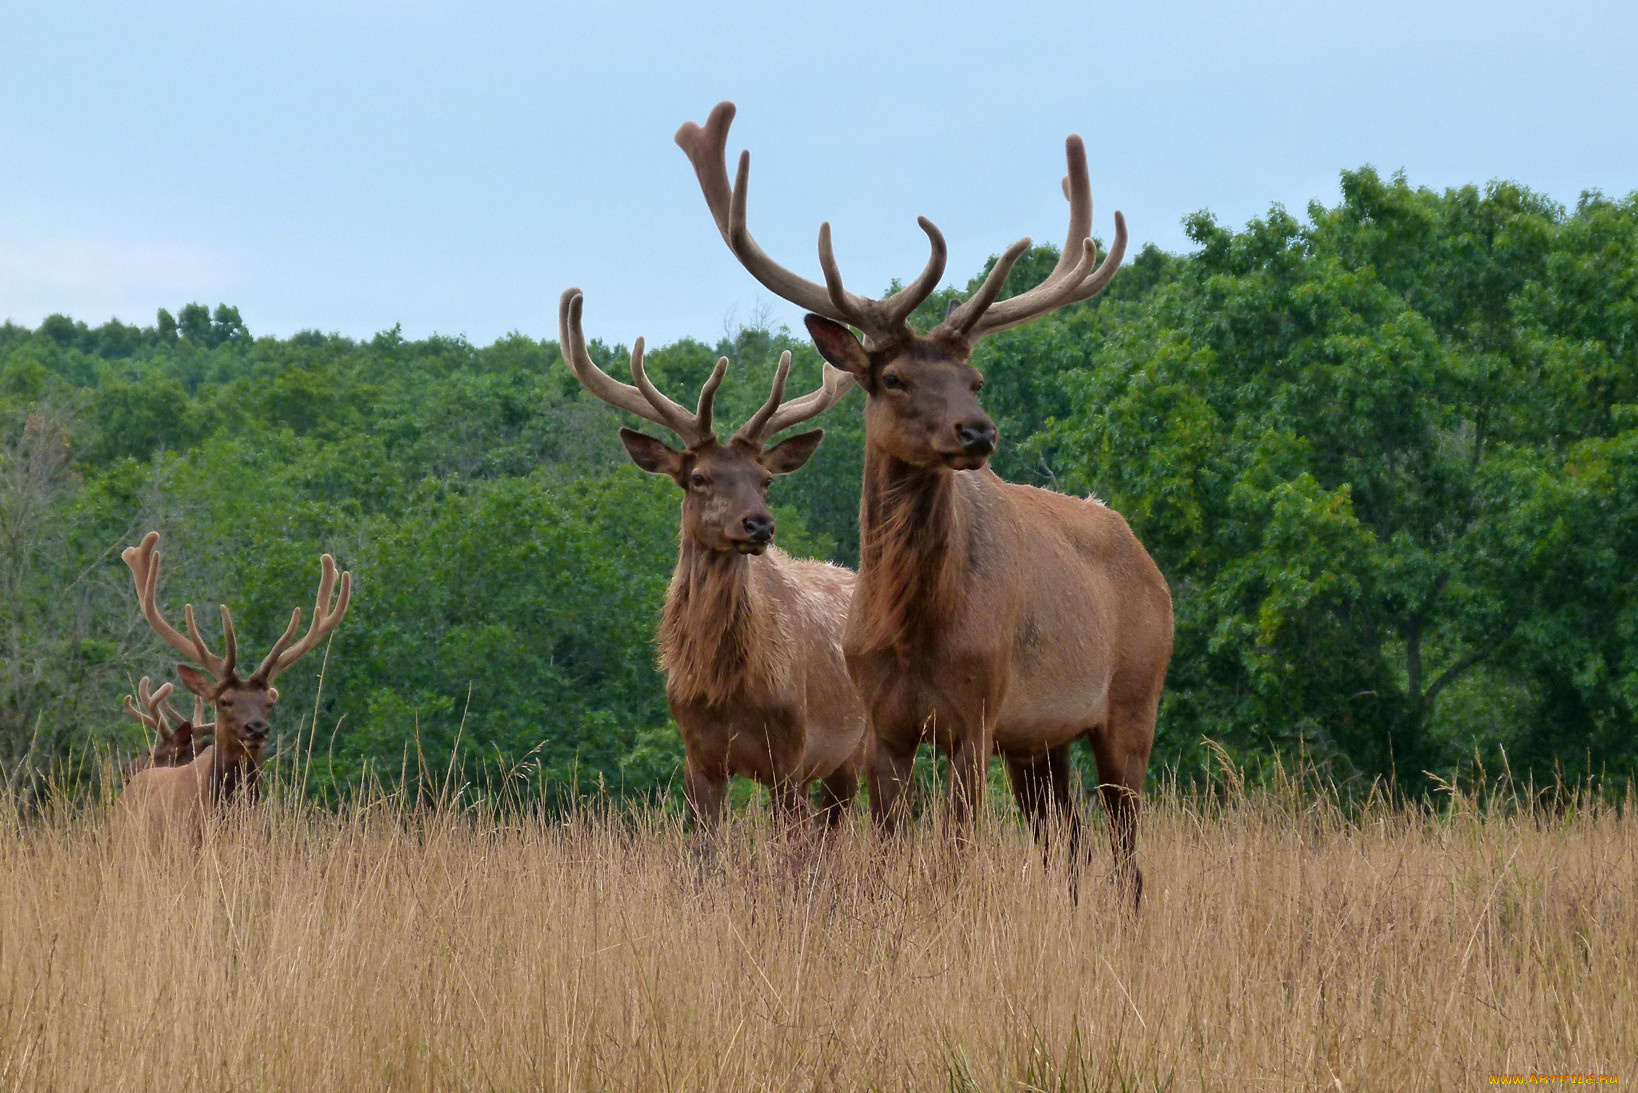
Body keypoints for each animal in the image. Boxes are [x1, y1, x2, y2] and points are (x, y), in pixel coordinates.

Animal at [560, 286, 871, 832]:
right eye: (699, 477)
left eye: (764, 479)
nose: (759, 525)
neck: (726, 691)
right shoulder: (697, 757)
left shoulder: (793, 752)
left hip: (856, 745)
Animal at [678, 100, 1179, 904]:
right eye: (894, 379)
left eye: (973, 379)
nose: (978, 431)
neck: (914, 627)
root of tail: (1142, 553)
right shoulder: (884, 721)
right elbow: (889, 850)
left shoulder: (975, 709)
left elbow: (956, 851)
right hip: (1041, 738)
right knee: (1069, 843)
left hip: (1133, 698)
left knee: (1128, 847)